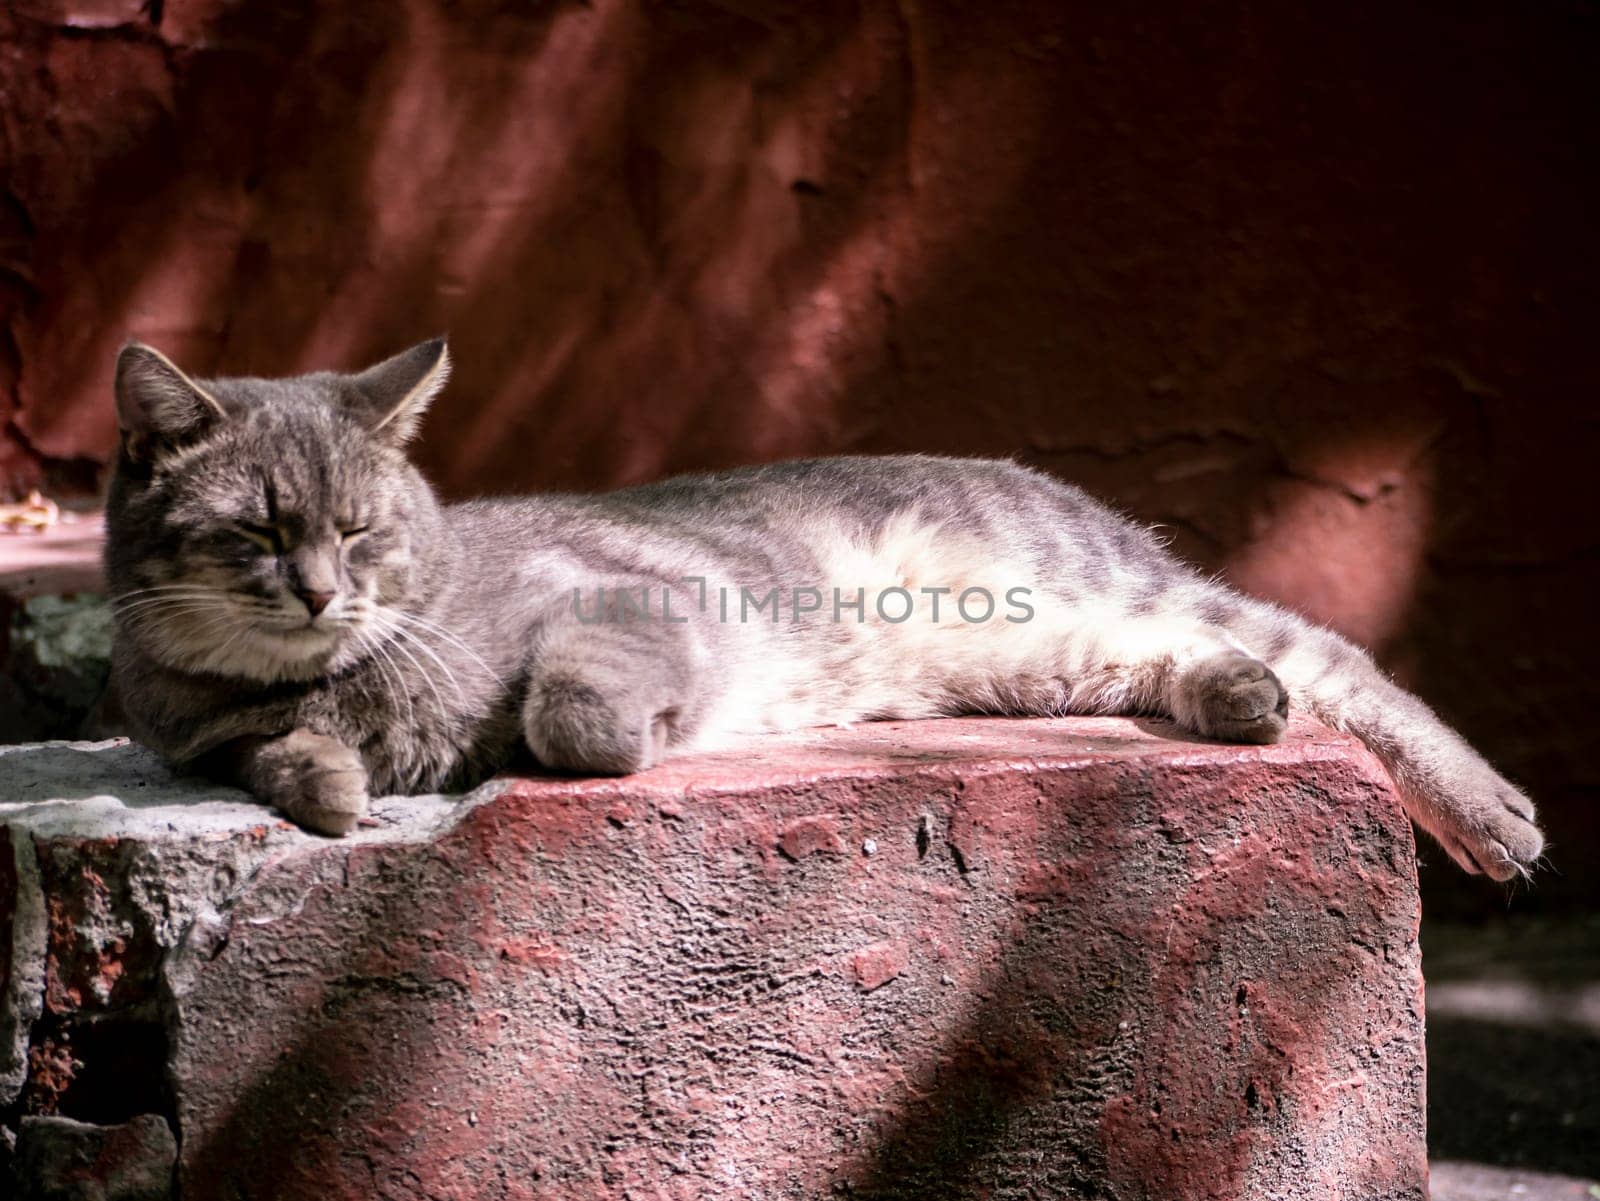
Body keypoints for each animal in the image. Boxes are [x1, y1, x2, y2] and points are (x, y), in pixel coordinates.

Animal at [106, 339, 1542, 882]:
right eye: (257, 533)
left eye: (360, 530)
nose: (321, 589)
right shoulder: (199, 737)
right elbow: (265, 756)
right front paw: (327, 779)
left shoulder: (633, 601)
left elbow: (572, 705)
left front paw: (608, 736)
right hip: (1046, 657)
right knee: (1205, 656)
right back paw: (1240, 698)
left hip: (1087, 585)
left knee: (1335, 657)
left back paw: (1489, 815)